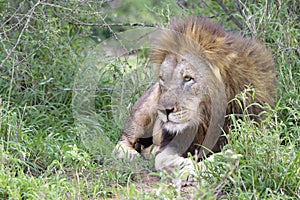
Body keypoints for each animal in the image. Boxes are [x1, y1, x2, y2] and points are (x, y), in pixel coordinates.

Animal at [113, 17, 276, 186]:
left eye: (188, 78)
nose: (164, 111)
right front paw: (185, 167)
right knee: (124, 139)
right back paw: (129, 154)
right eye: (163, 79)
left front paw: (195, 169)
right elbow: (162, 159)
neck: (206, 117)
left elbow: (227, 155)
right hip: (143, 112)